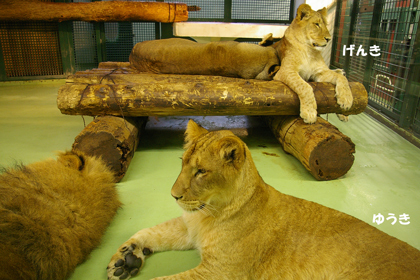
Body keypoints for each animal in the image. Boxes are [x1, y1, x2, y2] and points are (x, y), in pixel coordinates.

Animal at [106, 120, 420, 280]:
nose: (173, 195)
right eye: (182, 163)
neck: (210, 213)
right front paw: (125, 258)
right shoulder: (190, 225)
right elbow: (156, 230)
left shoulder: (220, 273)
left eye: (201, 172)